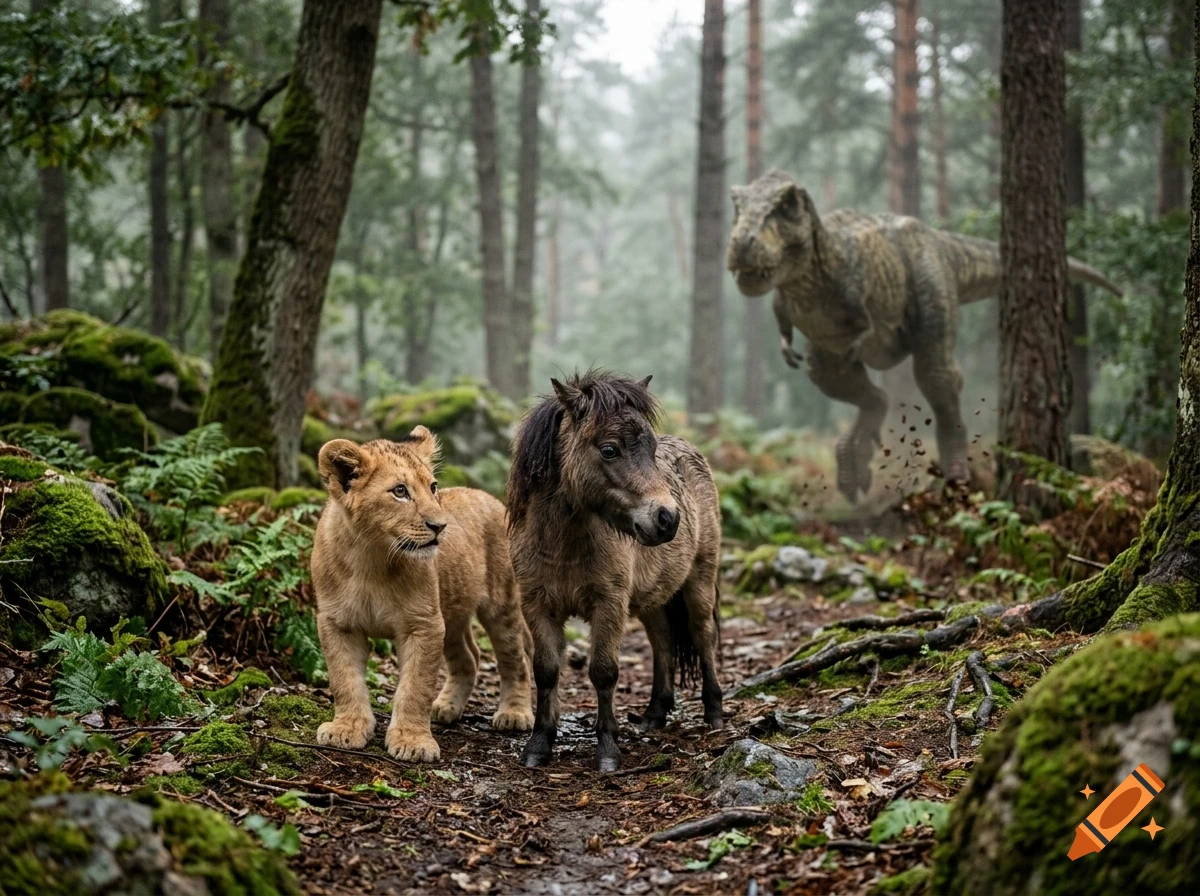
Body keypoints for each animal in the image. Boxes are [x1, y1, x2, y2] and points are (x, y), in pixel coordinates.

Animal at [310, 426, 533, 762]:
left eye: (433, 487)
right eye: (400, 491)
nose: (440, 526)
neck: (371, 559)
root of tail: (488, 497)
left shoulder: (423, 624)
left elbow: (415, 687)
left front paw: (413, 742)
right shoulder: (337, 623)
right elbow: (344, 679)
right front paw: (346, 729)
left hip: (502, 605)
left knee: (516, 659)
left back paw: (515, 714)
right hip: (451, 614)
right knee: (469, 657)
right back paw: (447, 707)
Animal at [506, 370, 724, 771]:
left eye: (651, 450)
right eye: (610, 450)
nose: (667, 519)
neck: (564, 546)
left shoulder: (608, 605)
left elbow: (604, 672)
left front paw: (607, 749)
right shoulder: (537, 606)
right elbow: (546, 671)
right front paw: (539, 744)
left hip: (700, 581)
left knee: (703, 637)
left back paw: (714, 712)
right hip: (655, 598)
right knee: (662, 642)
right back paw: (655, 714)